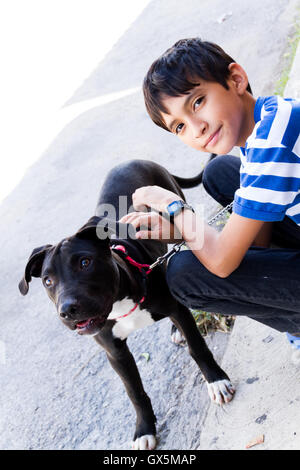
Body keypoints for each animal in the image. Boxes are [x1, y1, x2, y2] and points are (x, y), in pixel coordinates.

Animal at [18, 159, 234, 452]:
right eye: (48, 280)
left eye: (85, 262)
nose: (67, 311)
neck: (121, 304)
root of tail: (134, 160)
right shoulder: (115, 352)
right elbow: (134, 392)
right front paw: (143, 429)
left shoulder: (178, 311)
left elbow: (197, 348)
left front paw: (216, 381)